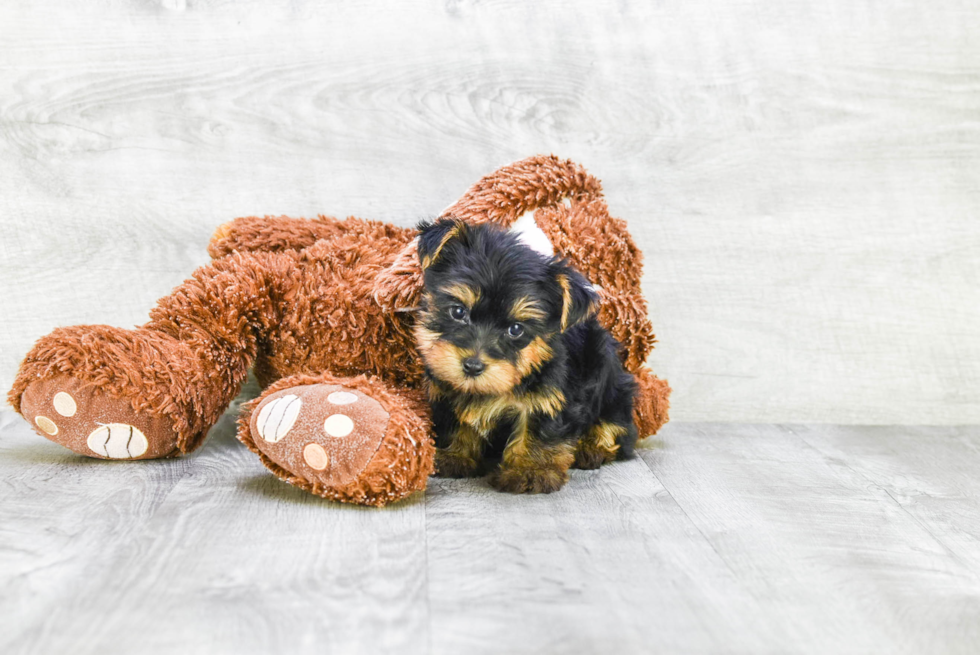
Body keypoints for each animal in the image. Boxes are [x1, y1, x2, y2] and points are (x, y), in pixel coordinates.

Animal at [412, 218, 636, 494]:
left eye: (516, 329)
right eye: (458, 312)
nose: (473, 366)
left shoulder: (550, 396)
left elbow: (540, 429)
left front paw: (531, 471)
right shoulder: (446, 389)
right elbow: (456, 417)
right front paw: (454, 455)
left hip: (615, 388)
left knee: (616, 426)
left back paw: (592, 448)